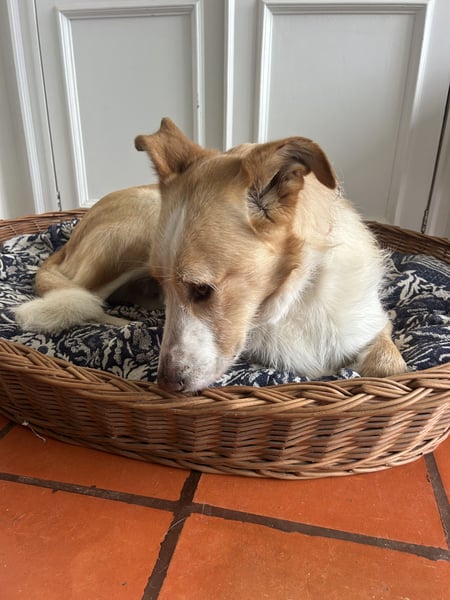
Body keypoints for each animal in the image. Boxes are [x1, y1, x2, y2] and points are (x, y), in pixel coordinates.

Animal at [14, 117, 407, 391]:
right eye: (165, 286)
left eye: (202, 290)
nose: (165, 384)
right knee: (79, 298)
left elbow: (391, 368)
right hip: (132, 236)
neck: (294, 298)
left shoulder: (374, 326)